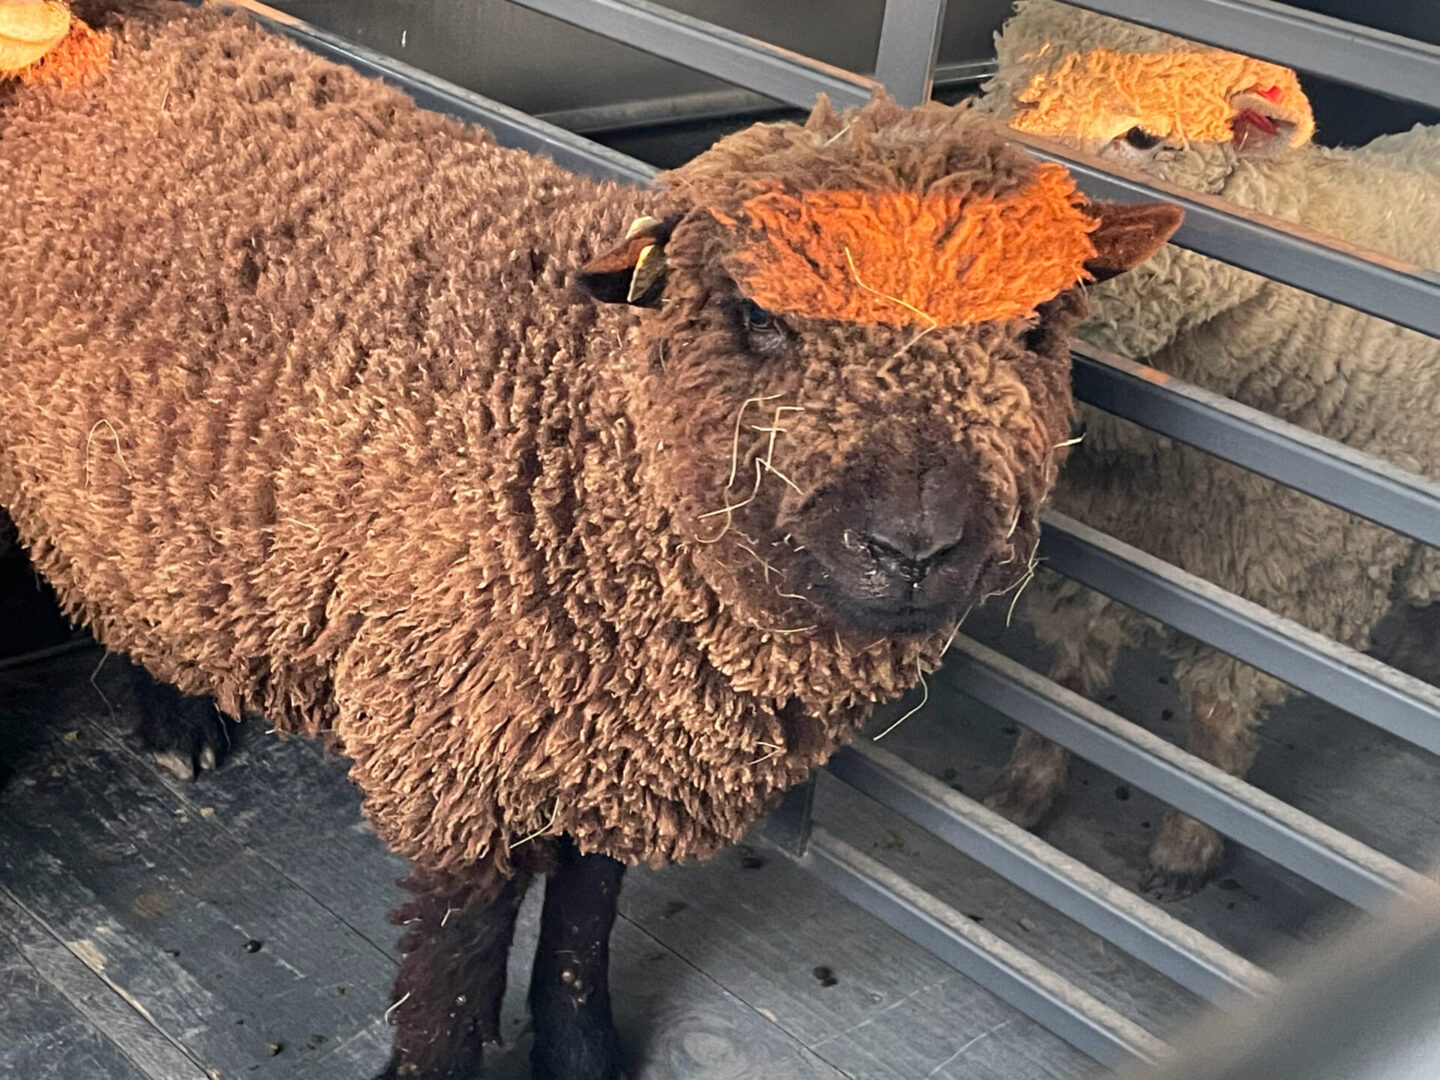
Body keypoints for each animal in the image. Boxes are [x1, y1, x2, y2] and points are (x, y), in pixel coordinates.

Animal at [0, 4, 1180, 1077]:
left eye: (1038, 325)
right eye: (759, 318)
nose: (915, 546)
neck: (581, 433)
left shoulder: (613, 738)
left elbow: (583, 908)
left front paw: (580, 1050)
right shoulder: (461, 741)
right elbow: (454, 958)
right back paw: (177, 723)